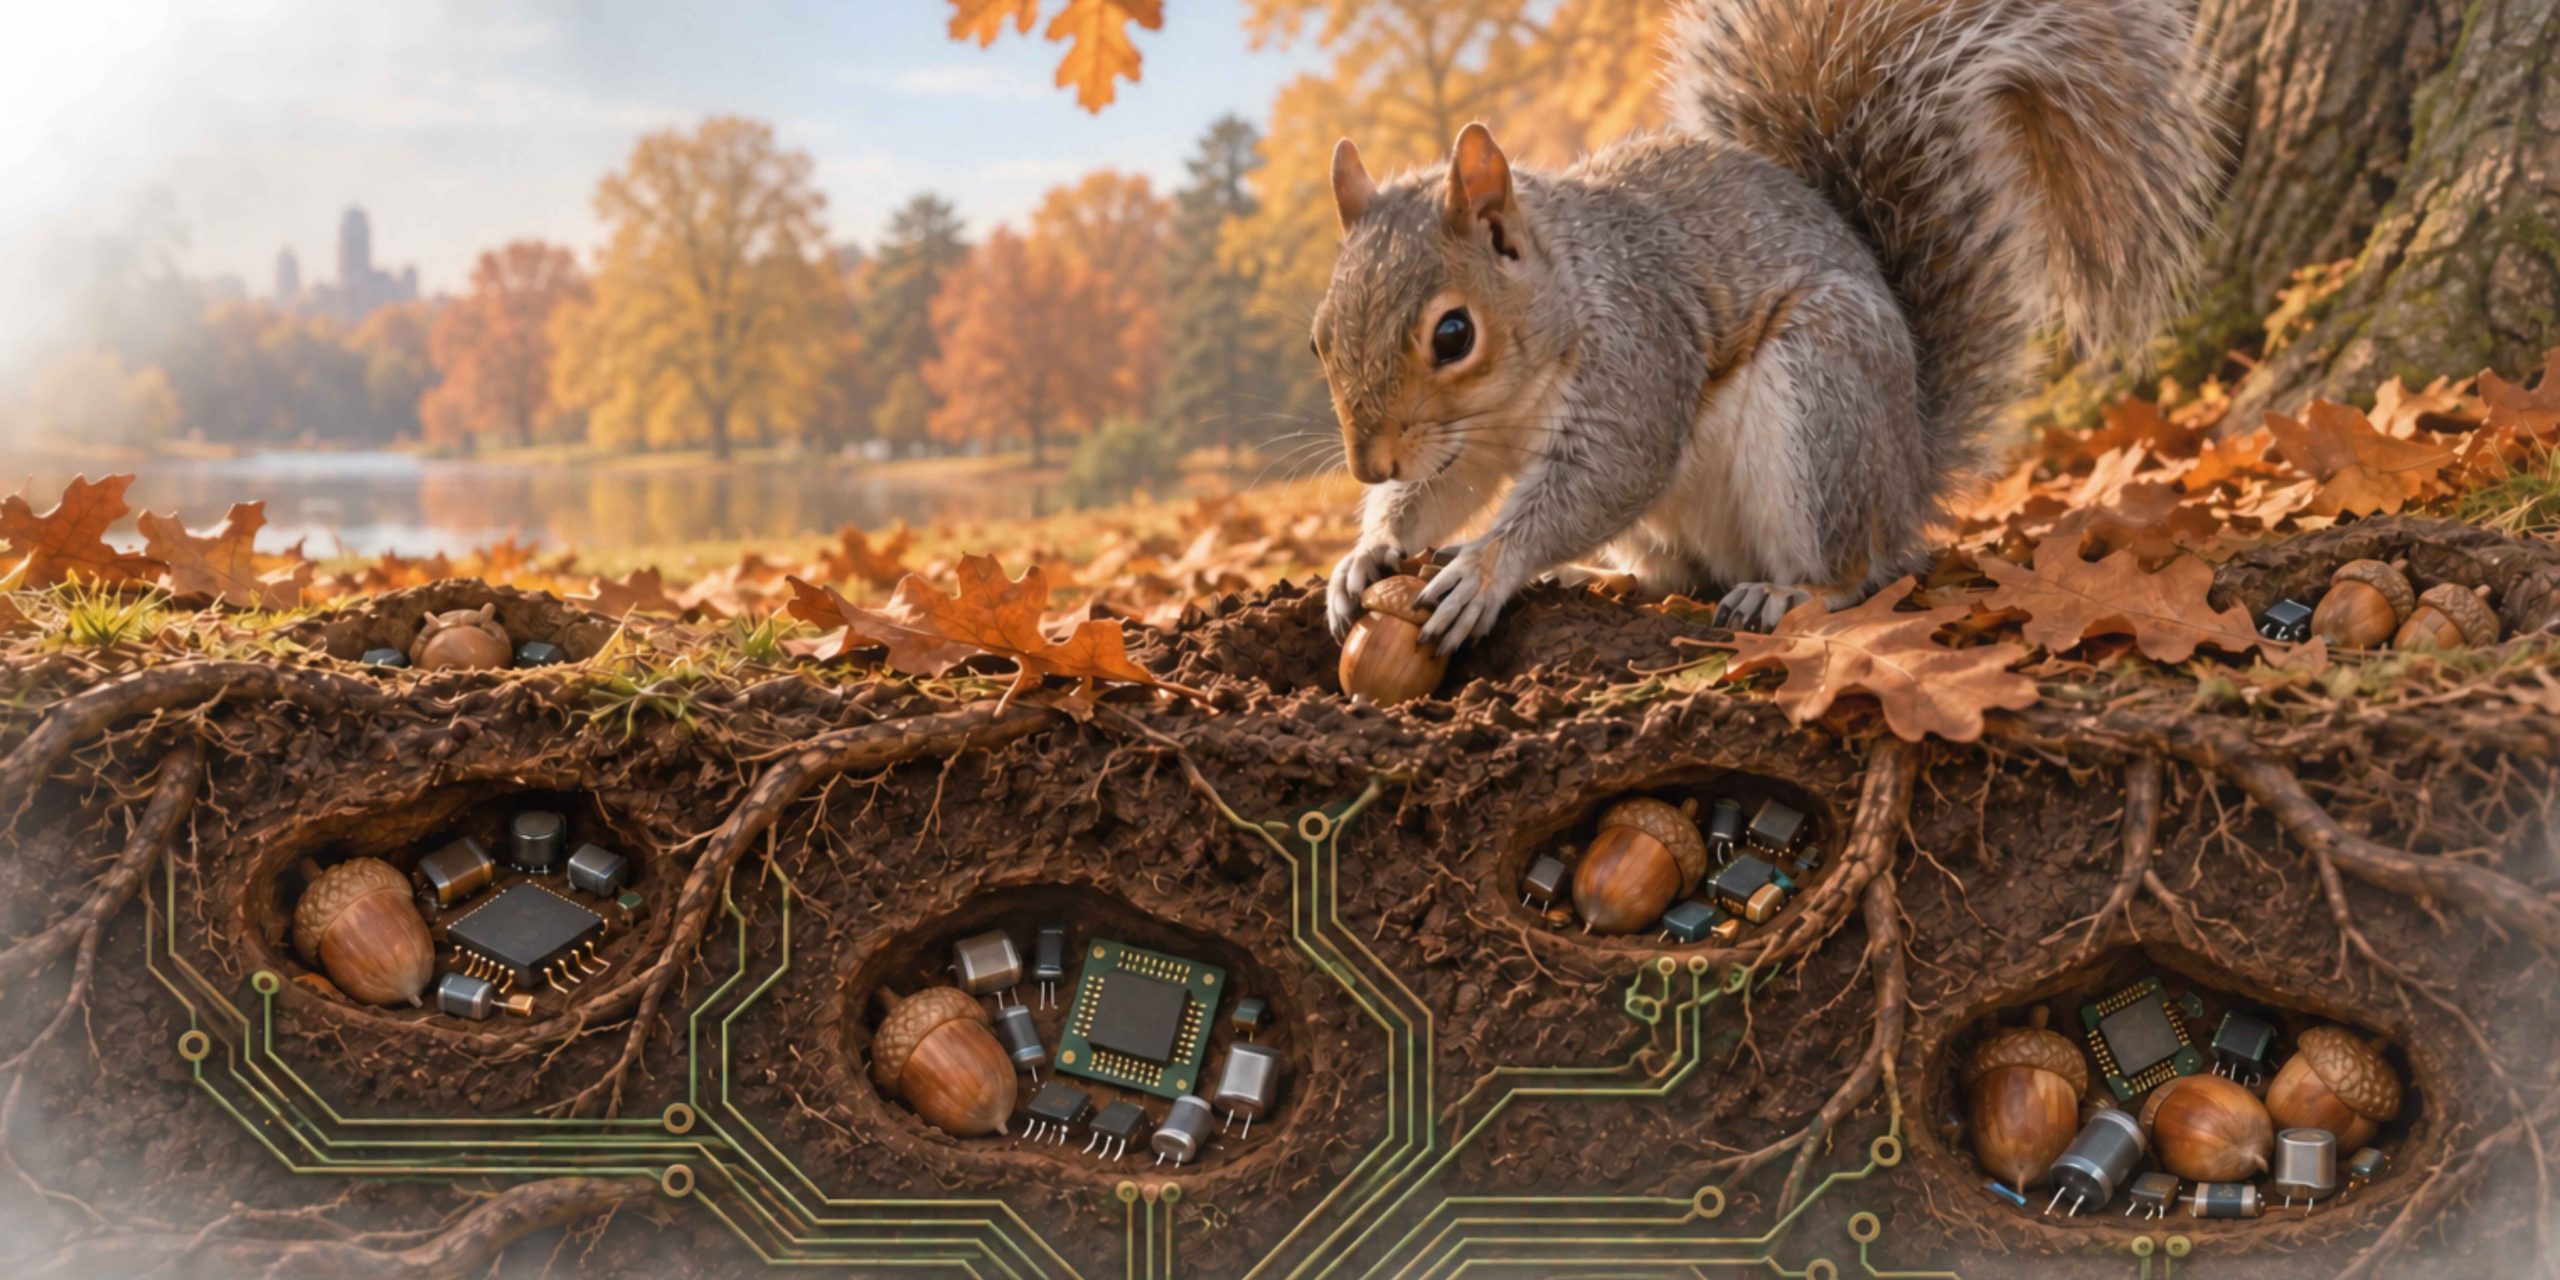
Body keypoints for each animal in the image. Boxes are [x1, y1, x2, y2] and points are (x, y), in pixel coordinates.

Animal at [1317, 0, 2219, 649]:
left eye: (1453, 335)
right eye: (1322, 336)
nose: (1368, 465)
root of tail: (1909, 478)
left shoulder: (1639, 354)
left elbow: (1606, 476)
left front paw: (1487, 569)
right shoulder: (1465, 439)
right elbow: (1443, 488)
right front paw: (1367, 552)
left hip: (1822, 401)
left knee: (1854, 571)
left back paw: (1789, 590)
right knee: (1677, 580)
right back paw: (1596, 581)